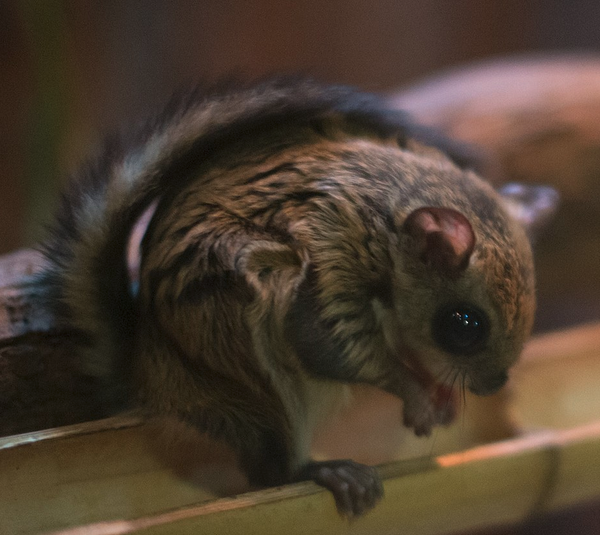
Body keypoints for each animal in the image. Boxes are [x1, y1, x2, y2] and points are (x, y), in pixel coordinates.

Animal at [38, 78, 557, 517]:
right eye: (463, 325)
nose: (493, 385)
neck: (386, 226)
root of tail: (148, 377)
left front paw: (442, 397)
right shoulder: (330, 265)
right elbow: (336, 348)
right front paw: (416, 394)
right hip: (246, 363)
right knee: (271, 469)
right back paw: (324, 471)